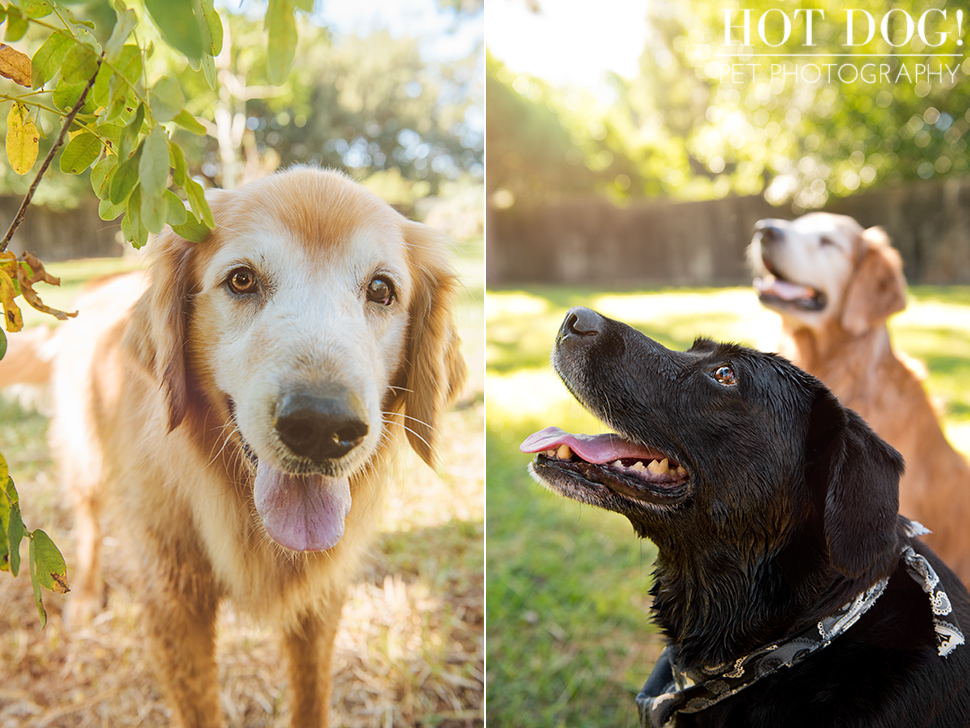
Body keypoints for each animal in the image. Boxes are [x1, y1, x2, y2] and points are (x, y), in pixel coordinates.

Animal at [10, 168, 466, 728]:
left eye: (382, 289)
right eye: (242, 280)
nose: (321, 425)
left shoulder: (320, 597)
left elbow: (311, 699)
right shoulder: (174, 603)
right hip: (86, 458)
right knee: (90, 525)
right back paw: (86, 595)